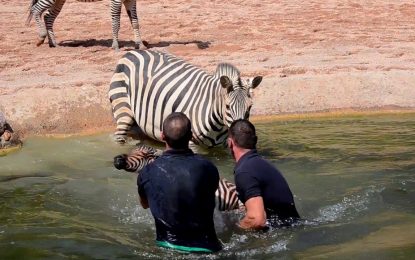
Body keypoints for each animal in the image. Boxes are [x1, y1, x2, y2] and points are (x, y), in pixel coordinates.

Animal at [109, 48, 262, 146]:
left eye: (250, 107)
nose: (242, 136)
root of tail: (133, 52)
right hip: (123, 108)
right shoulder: (191, 143)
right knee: (119, 135)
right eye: (228, 106)